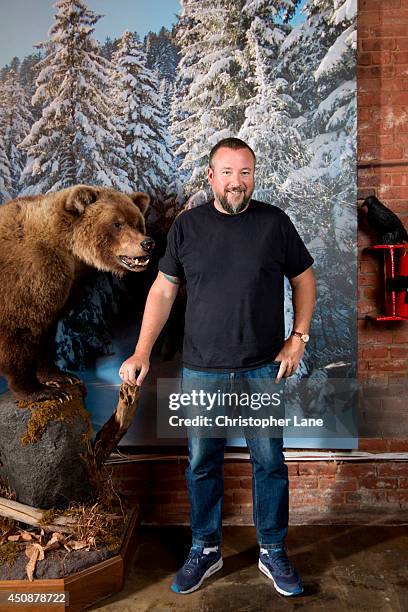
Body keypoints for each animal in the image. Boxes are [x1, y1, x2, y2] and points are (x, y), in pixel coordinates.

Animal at [0, 184, 152, 404]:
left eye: (138, 223)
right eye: (117, 223)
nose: (147, 243)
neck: (70, 252)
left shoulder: (66, 287)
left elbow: (47, 334)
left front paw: (61, 377)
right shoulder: (27, 280)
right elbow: (20, 333)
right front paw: (39, 390)